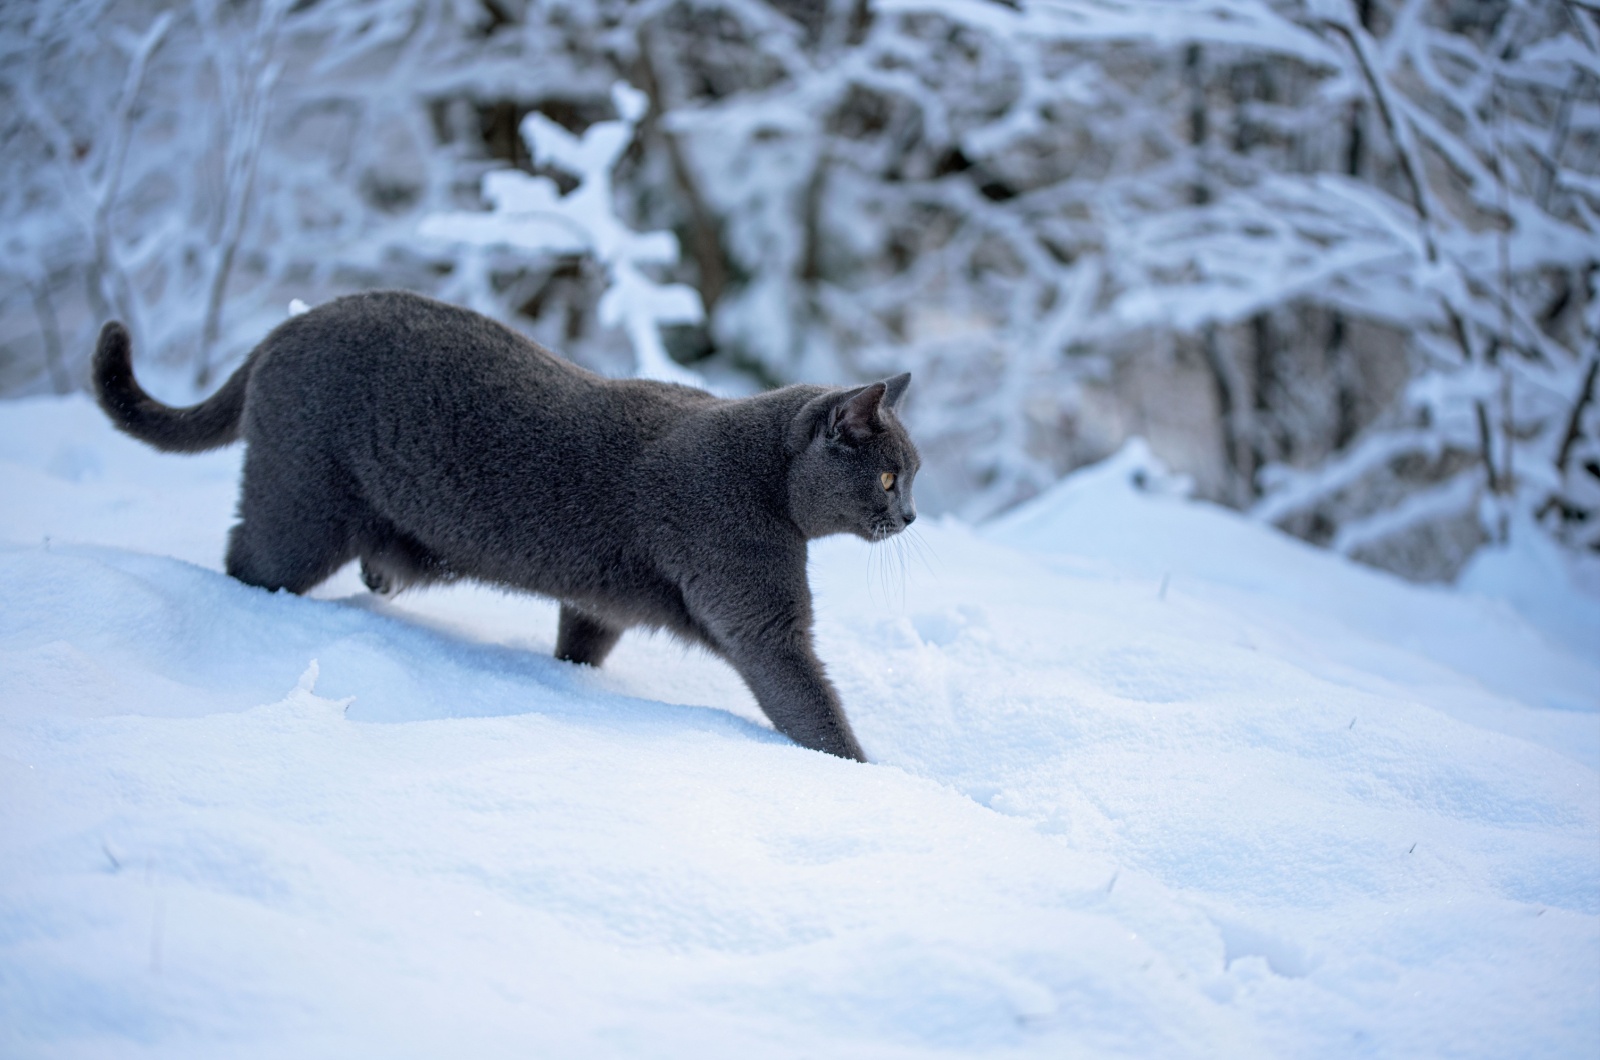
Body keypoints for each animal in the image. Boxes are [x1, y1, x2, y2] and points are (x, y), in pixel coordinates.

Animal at [93, 291, 921, 765]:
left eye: (913, 474)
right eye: (887, 477)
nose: (910, 515)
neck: (763, 480)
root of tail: (287, 328)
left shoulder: (601, 604)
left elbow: (581, 642)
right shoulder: (757, 611)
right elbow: (810, 706)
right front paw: (866, 777)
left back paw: (383, 575)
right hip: (301, 503)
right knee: (246, 559)